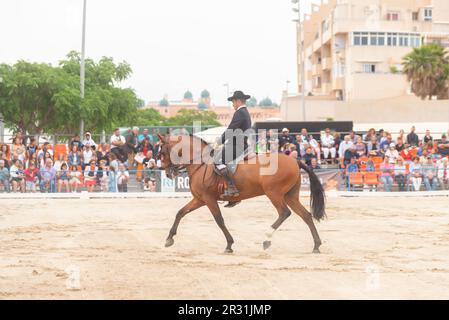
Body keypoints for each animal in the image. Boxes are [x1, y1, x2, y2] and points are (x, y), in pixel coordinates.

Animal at [156, 132, 324, 252]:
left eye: (162, 151)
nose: (168, 174)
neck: (201, 163)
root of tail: (294, 160)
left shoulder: (209, 199)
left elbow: (219, 220)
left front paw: (229, 245)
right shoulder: (200, 199)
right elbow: (180, 212)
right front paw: (169, 239)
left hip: (274, 193)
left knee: (284, 213)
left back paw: (267, 239)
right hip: (290, 196)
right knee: (306, 216)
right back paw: (316, 245)